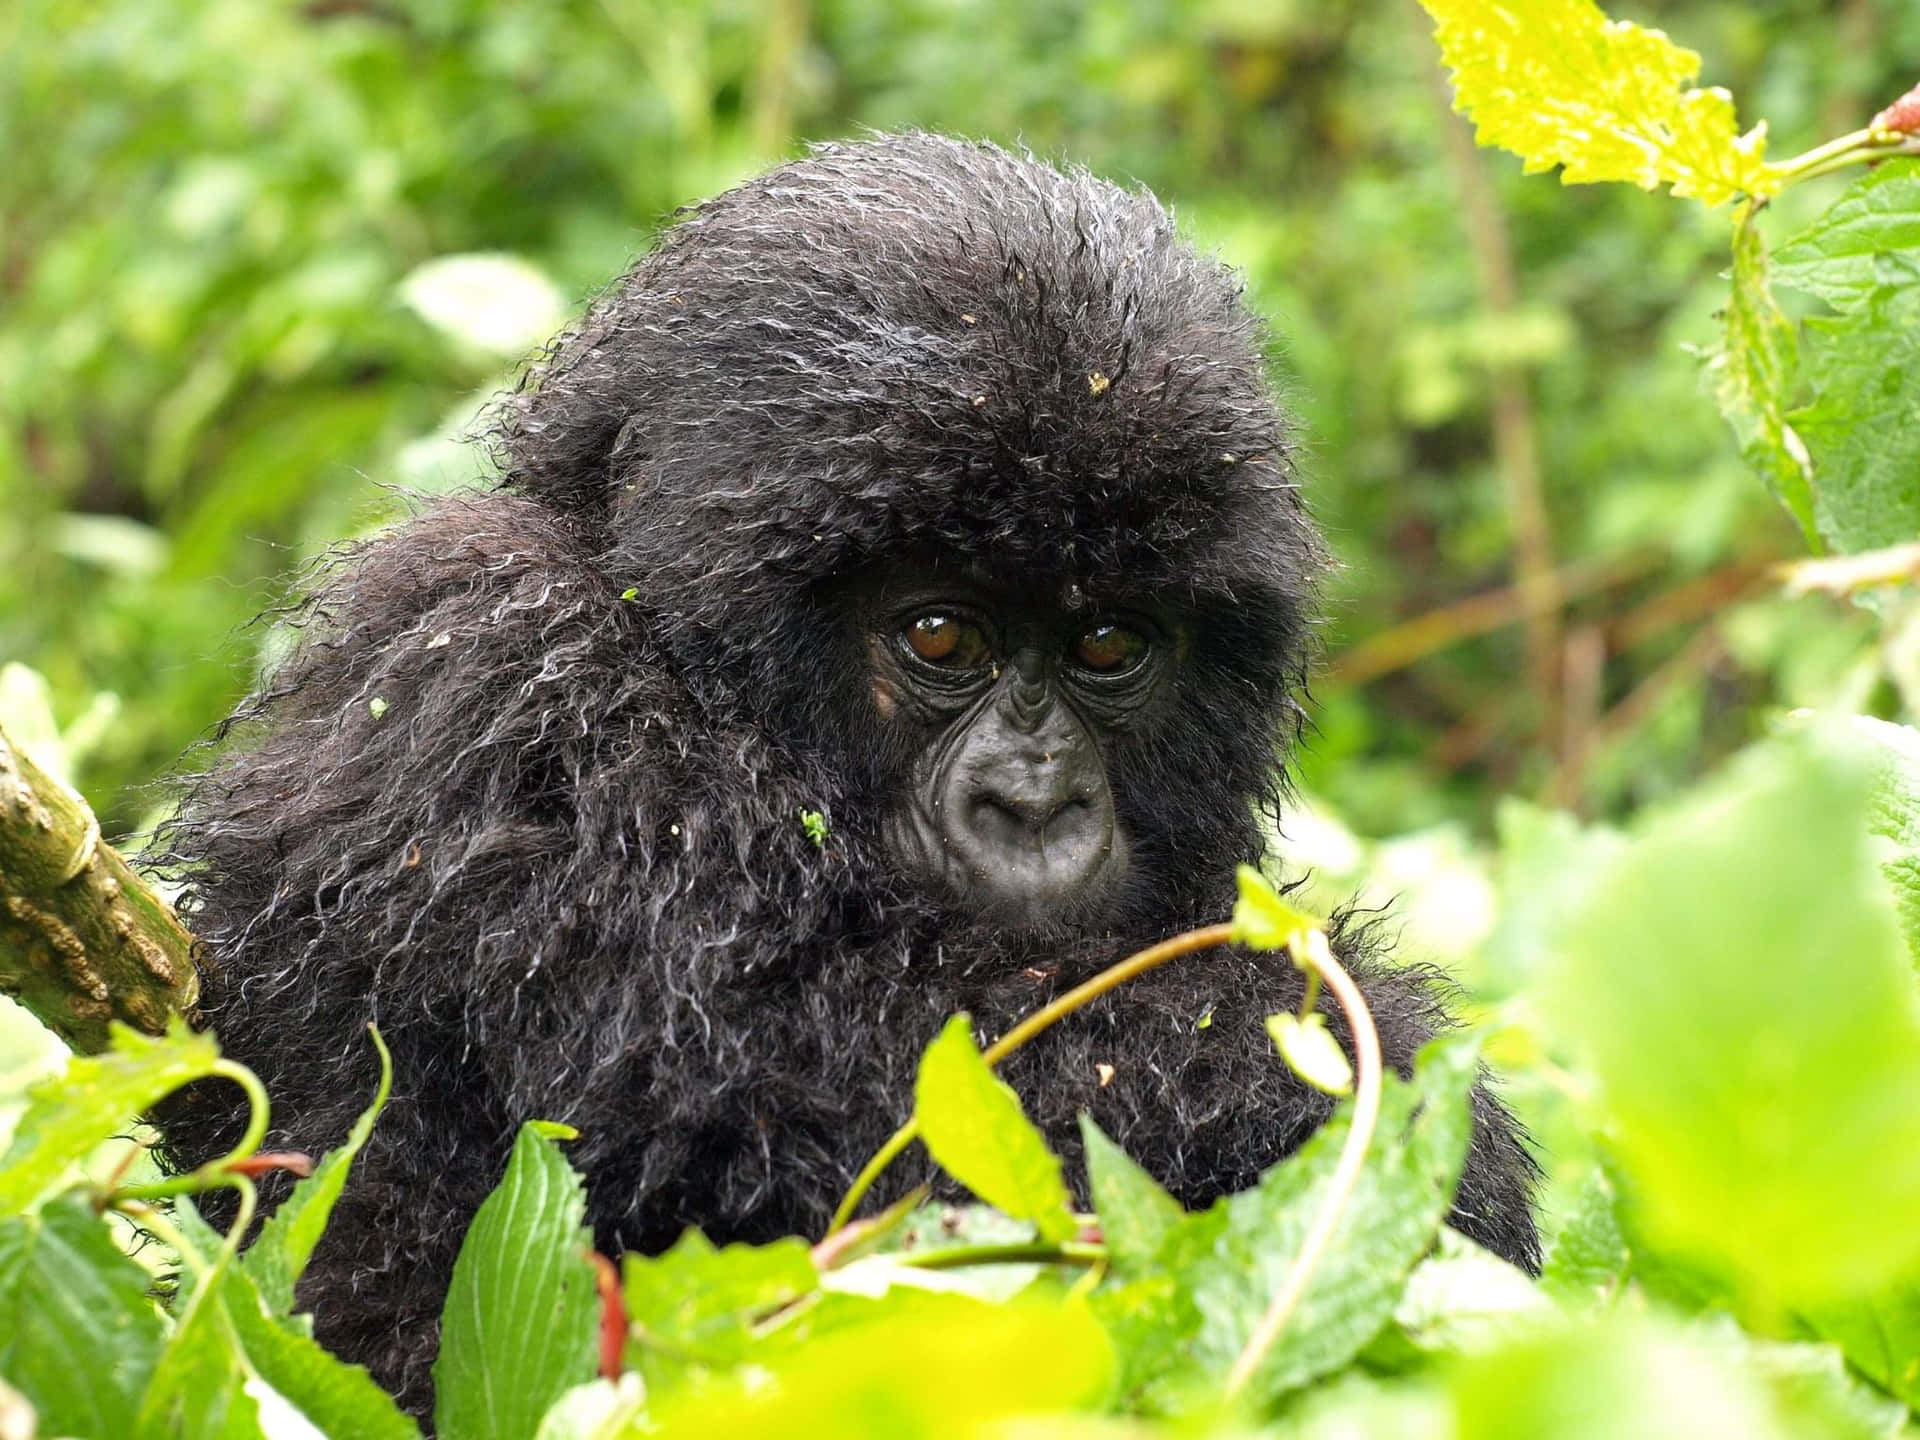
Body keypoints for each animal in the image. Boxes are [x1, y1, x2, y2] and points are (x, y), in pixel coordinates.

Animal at [153, 129, 1543, 1413]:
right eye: (939, 636)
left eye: (1107, 644)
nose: (1035, 804)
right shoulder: (499, 675)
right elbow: (828, 1086)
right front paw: (1386, 1083)